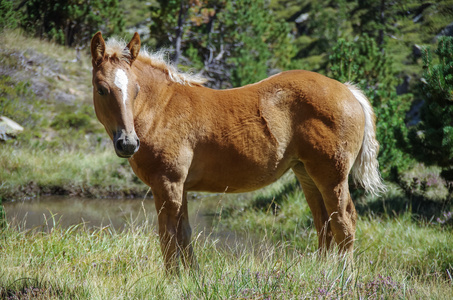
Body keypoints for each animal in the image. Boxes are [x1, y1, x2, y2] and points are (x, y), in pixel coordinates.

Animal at [90, 32, 384, 272]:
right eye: (101, 89)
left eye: (136, 89)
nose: (128, 143)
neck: (163, 109)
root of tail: (348, 91)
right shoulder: (180, 187)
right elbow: (184, 234)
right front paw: (191, 277)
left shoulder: (167, 183)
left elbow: (168, 236)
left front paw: (172, 280)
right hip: (306, 175)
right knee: (324, 223)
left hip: (332, 176)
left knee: (344, 222)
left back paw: (342, 277)